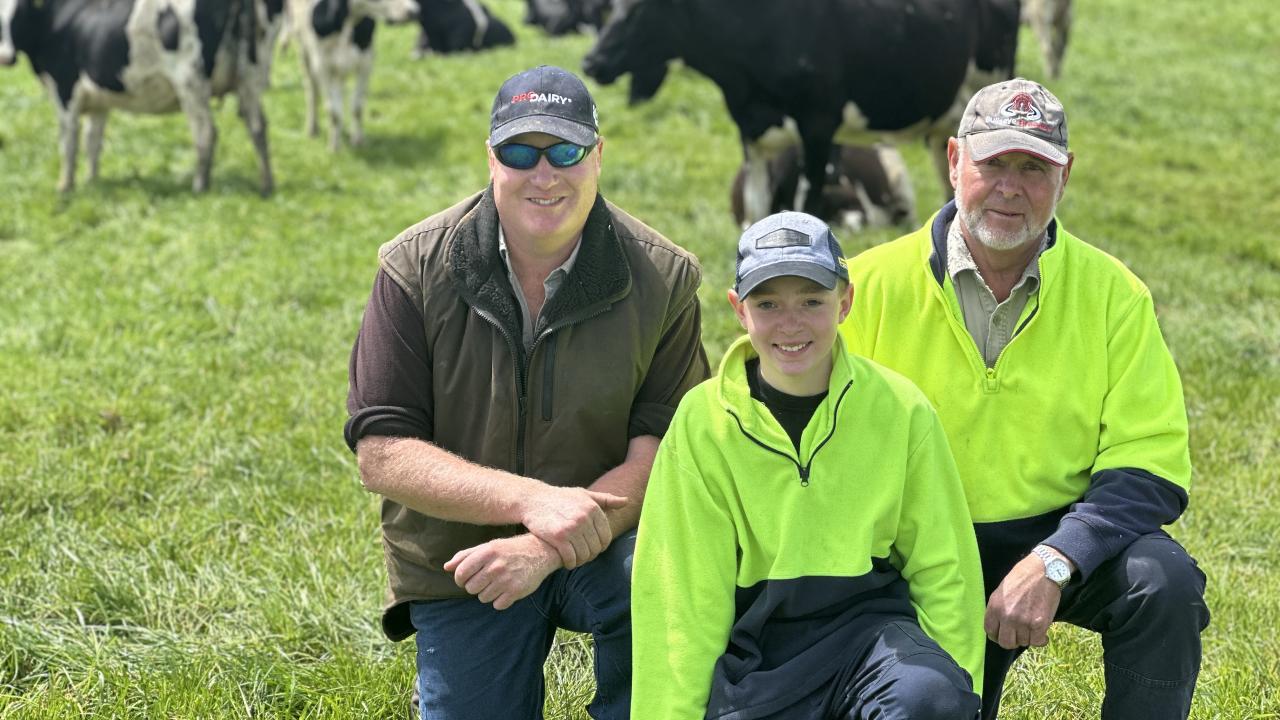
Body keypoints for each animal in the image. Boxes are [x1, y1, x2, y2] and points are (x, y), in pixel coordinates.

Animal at [0, 0, 282, 194]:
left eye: (18, 14)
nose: (6, 57)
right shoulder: (98, 99)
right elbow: (93, 142)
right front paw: (92, 180)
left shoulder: (65, 90)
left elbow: (68, 143)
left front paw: (65, 186)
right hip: (250, 76)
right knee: (258, 127)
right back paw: (266, 183)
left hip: (191, 82)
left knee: (206, 133)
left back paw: (199, 185)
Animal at [285, 0, 414, 151]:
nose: (413, 11)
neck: (348, 21)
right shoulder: (323, 67)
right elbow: (333, 111)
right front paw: (334, 147)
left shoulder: (365, 63)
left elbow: (357, 108)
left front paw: (358, 141)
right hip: (304, 52)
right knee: (312, 92)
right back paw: (313, 129)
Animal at [583, 0, 1018, 222]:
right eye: (610, 7)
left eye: (637, 8)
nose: (591, 61)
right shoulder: (751, 133)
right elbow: (757, 211)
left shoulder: (818, 126)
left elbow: (807, 211)